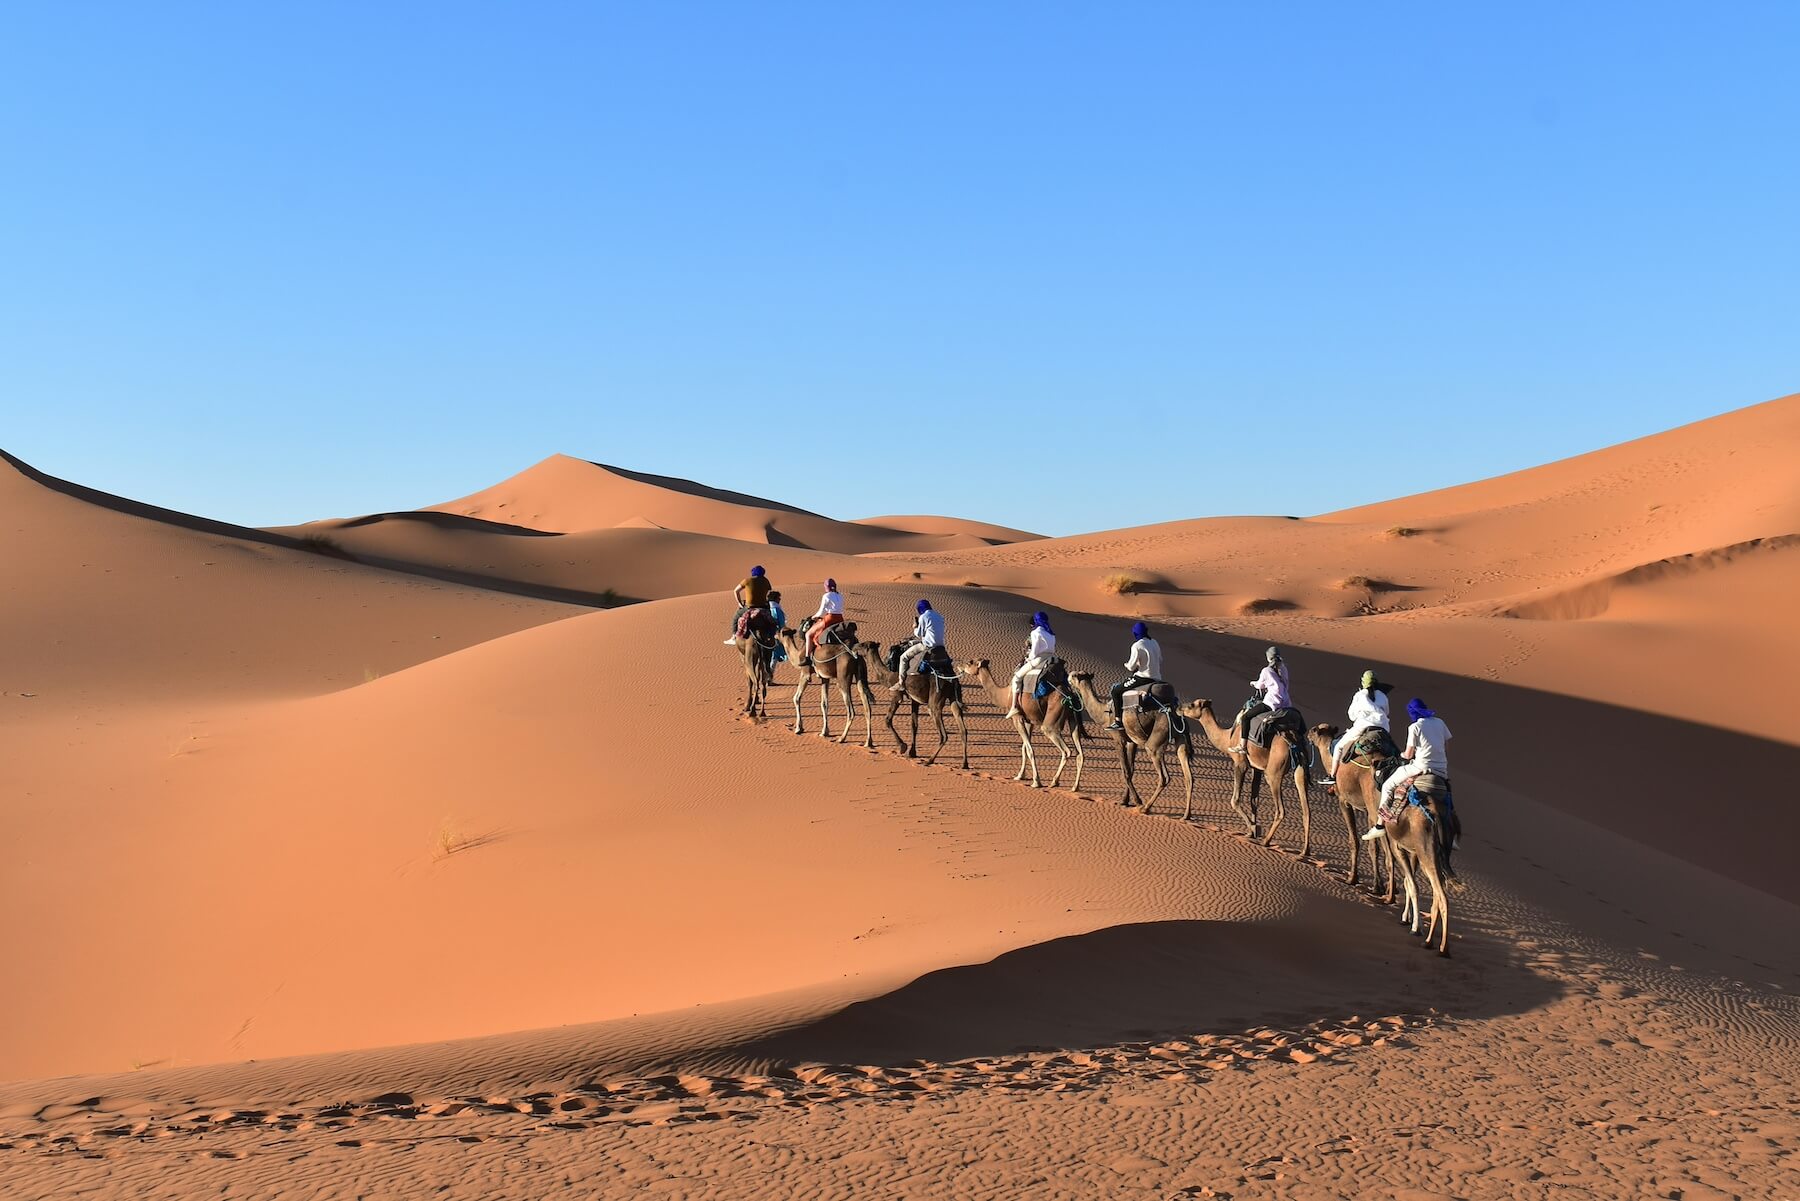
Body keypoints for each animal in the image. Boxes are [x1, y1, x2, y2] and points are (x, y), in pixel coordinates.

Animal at [853, 637, 972, 770]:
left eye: (863, 645)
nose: (854, 646)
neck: (887, 675)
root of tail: (951, 678)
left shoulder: (897, 695)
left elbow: (888, 719)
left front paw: (902, 747)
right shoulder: (915, 700)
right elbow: (914, 725)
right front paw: (912, 752)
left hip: (935, 700)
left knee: (943, 734)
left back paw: (929, 760)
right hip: (953, 698)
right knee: (963, 729)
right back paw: (964, 764)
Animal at [964, 659, 1087, 788]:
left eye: (970, 662)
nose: (960, 666)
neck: (1005, 695)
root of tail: (1071, 695)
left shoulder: (1017, 718)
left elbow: (1030, 750)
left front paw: (1036, 781)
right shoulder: (1029, 721)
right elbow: (1024, 748)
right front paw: (1020, 776)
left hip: (1051, 721)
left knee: (1065, 750)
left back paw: (1054, 781)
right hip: (1073, 719)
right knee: (1080, 753)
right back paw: (1074, 787)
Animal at [1065, 673, 1195, 821]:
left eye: (1075, 675)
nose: (1068, 676)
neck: (1104, 714)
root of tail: (1173, 711)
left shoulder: (1119, 739)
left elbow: (1125, 771)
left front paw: (1137, 801)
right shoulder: (1132, 741)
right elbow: (1131, 770)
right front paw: (1125, 801)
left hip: (1156, 740)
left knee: (1164, 777)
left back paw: (1145, 808)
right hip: (1180, 738)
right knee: (1188, 776)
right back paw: (1186, 815)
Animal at [1188, 695, 1317, 853]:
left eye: (1191, 705)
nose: (1179, 708)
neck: (1228, 738)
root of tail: (1293, 739)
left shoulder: (1240, 763)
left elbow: (1235, 800)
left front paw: (1254, 829)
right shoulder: (1257, 768)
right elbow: (1254, 800)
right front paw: (1251, 831)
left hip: (1273, 773)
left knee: (1280, 809)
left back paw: (1266, 841)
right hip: (1300, 768)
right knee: (1306, 809)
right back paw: (1305, 850)